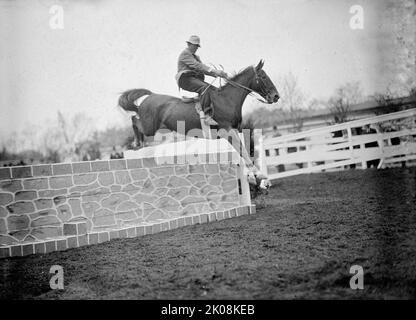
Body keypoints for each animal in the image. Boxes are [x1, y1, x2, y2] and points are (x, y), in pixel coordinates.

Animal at [118, 59, 280, 176]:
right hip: (149, 127)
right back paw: (136, 142)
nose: (276, 96)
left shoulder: (234, 129)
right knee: (134, 120)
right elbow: (242, 149)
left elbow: (242, 149)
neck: (227, 99)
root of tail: (149, 96)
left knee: (135, 119)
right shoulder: (226, 130)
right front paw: (257, 174)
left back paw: (139, 143)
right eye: (263, 77)